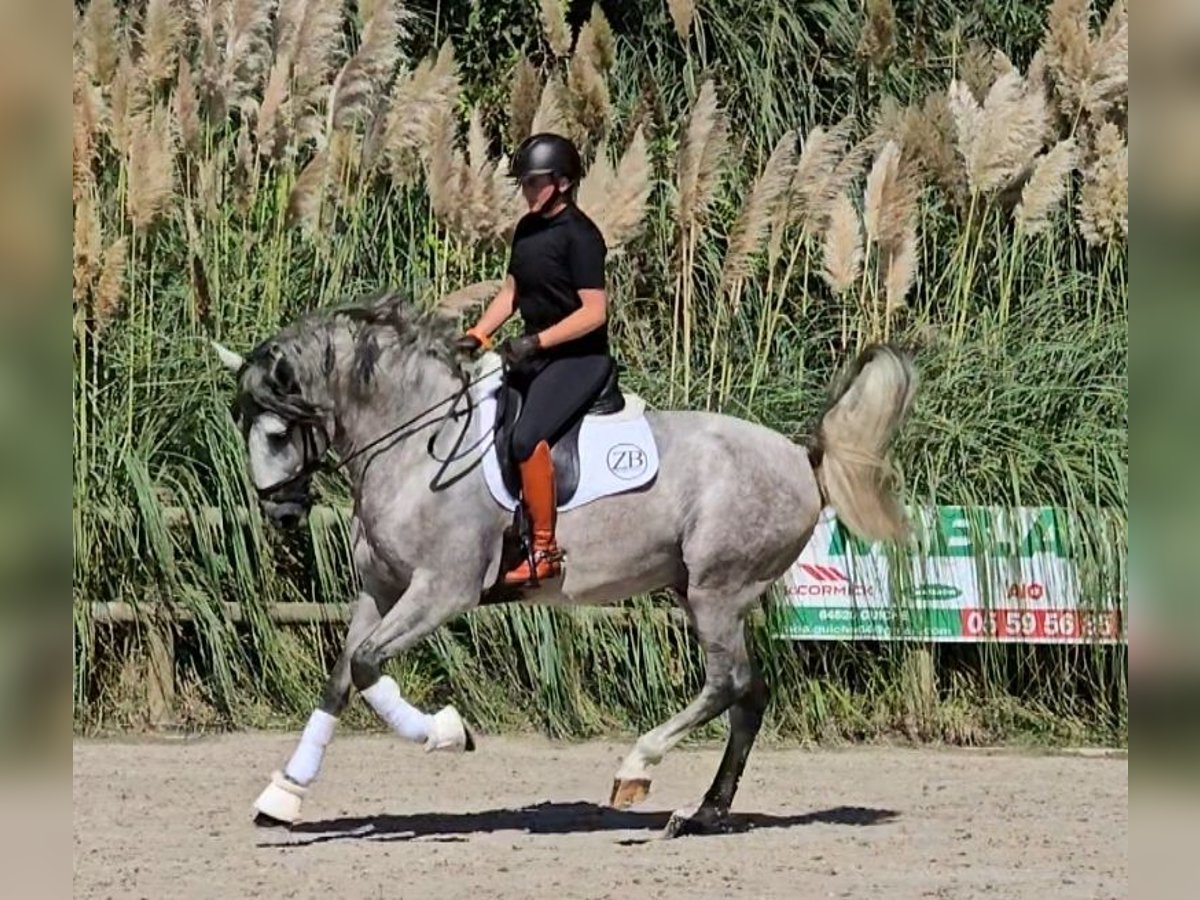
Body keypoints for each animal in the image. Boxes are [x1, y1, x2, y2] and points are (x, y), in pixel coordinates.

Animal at [211, 290, 912, 840]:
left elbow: (364, 665)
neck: (414, 441)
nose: (280, 512)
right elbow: (342, 674)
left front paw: (446, 732)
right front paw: (284, 794)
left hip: (718, 590)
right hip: (700, 592)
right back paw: (706, 813)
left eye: (277, 432)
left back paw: (636, 770)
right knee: (750, 693)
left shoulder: (443, 590)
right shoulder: (381, 589)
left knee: (727, 683)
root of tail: (802, 456)